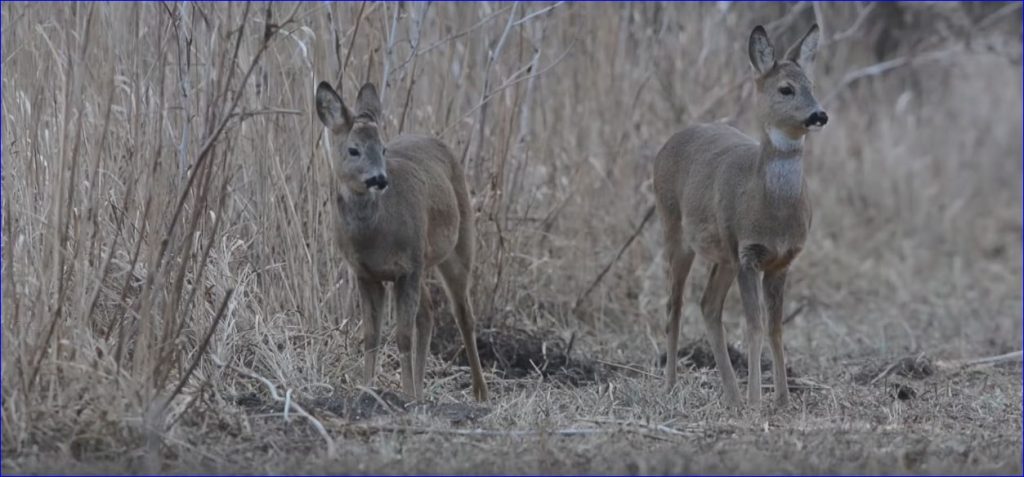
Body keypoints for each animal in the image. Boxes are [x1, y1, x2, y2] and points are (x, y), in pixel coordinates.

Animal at [313, 80, 489, 401]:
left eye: (382, 148)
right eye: (353, 150)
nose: (380, 179)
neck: (374, 238)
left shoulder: (408, 266)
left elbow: (403, 336)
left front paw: (404, 393)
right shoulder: (366, 273)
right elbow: (371, 335)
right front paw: (368, 389)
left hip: (459, 244)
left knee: (463, 314)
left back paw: (480, 391)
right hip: (423, 260)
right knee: (429, 312)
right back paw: (420, 389)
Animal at [651, 24, 827, 407]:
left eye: (812, 84)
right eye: (786, 88)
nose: (819, 115)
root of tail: (667, 144)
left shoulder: (782, 260)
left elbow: (775, 327)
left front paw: (782, 400)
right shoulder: (748, 252)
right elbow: (754, 324)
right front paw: (757, 401)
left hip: (723, 255)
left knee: (708, 305)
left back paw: (731, 395)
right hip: (674, 227)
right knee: (674, 303)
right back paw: (670, 385)